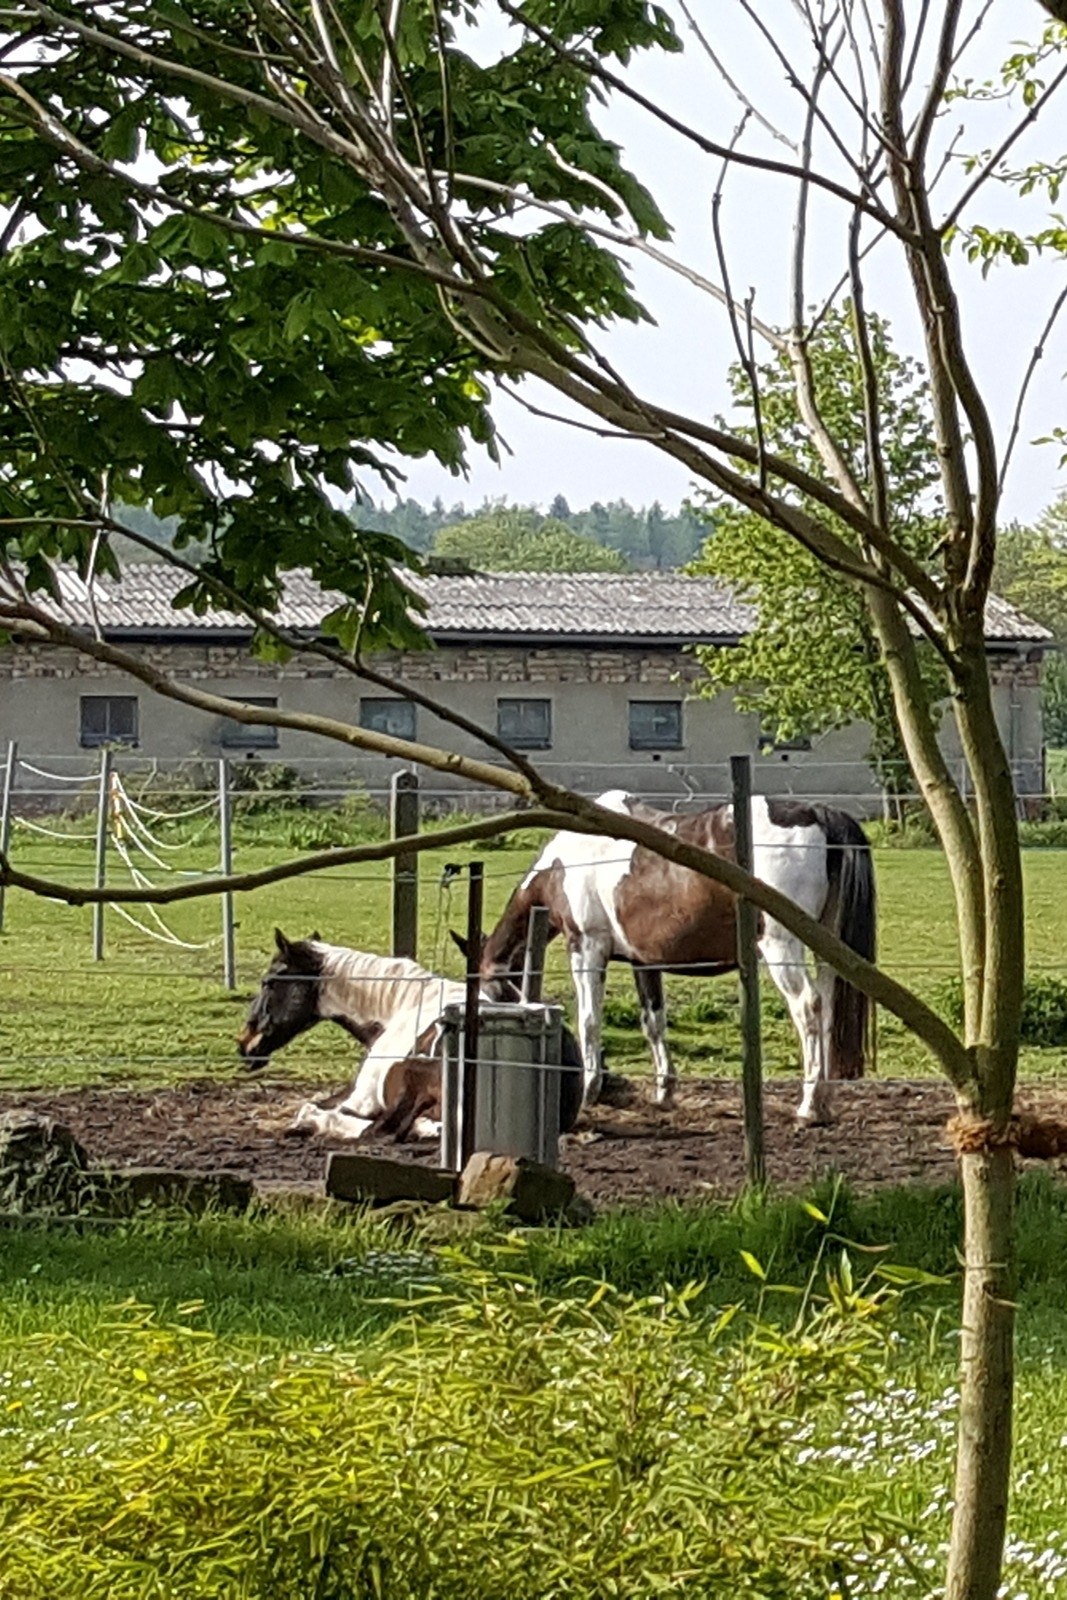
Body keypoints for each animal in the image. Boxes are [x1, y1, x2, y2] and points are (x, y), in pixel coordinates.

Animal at [237, 929, 583, 1142]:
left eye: (269, 982)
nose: (244, 1043)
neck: (404, 1006)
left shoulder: (361, 1098)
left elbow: (317, 1107)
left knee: (376, 1129)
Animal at [468, 789, 875, 1125]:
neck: (566, 862)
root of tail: (818, 813)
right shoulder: (643, 962)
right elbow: (653, 1022)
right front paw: (664, 1091)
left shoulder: (586, 947)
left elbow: (589, 1020)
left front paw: (589, 1089)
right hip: (828, 949)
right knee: (828, 1010)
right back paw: (824, 1101)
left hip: (781, 946)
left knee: (807, 1006)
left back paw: (808, 1106)